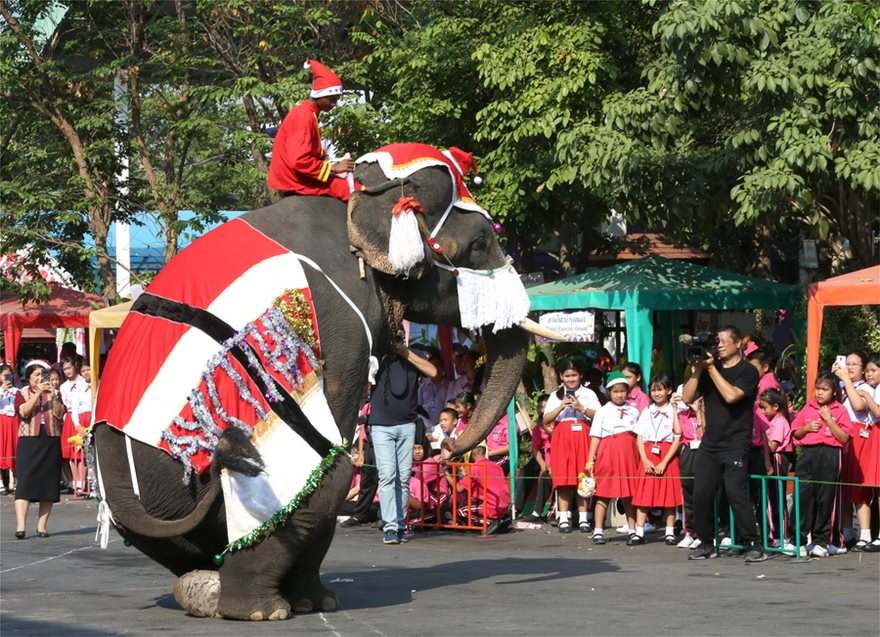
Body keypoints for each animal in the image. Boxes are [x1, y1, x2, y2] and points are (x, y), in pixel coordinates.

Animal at [91, 142, 552, 620]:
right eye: (479, 243)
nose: (448, 448)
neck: (360, 196)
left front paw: (316, 602)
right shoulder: (345, 320)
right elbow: (337, 426)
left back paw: (219, 594)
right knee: (329, 476)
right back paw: (260, 611)